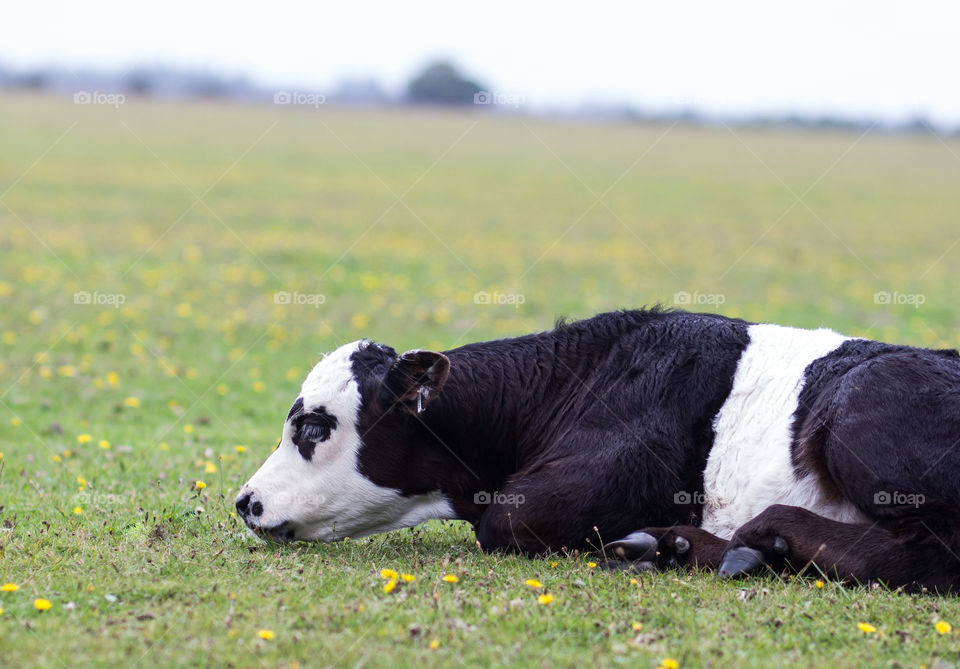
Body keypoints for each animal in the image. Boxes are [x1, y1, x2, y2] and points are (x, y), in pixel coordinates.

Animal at [236, 306, 960, 588]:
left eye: (313, 426)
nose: (244, 501)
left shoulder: (566, 494)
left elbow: (505, 524)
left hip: (860, 405)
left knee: (930, 554)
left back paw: (749, 536)